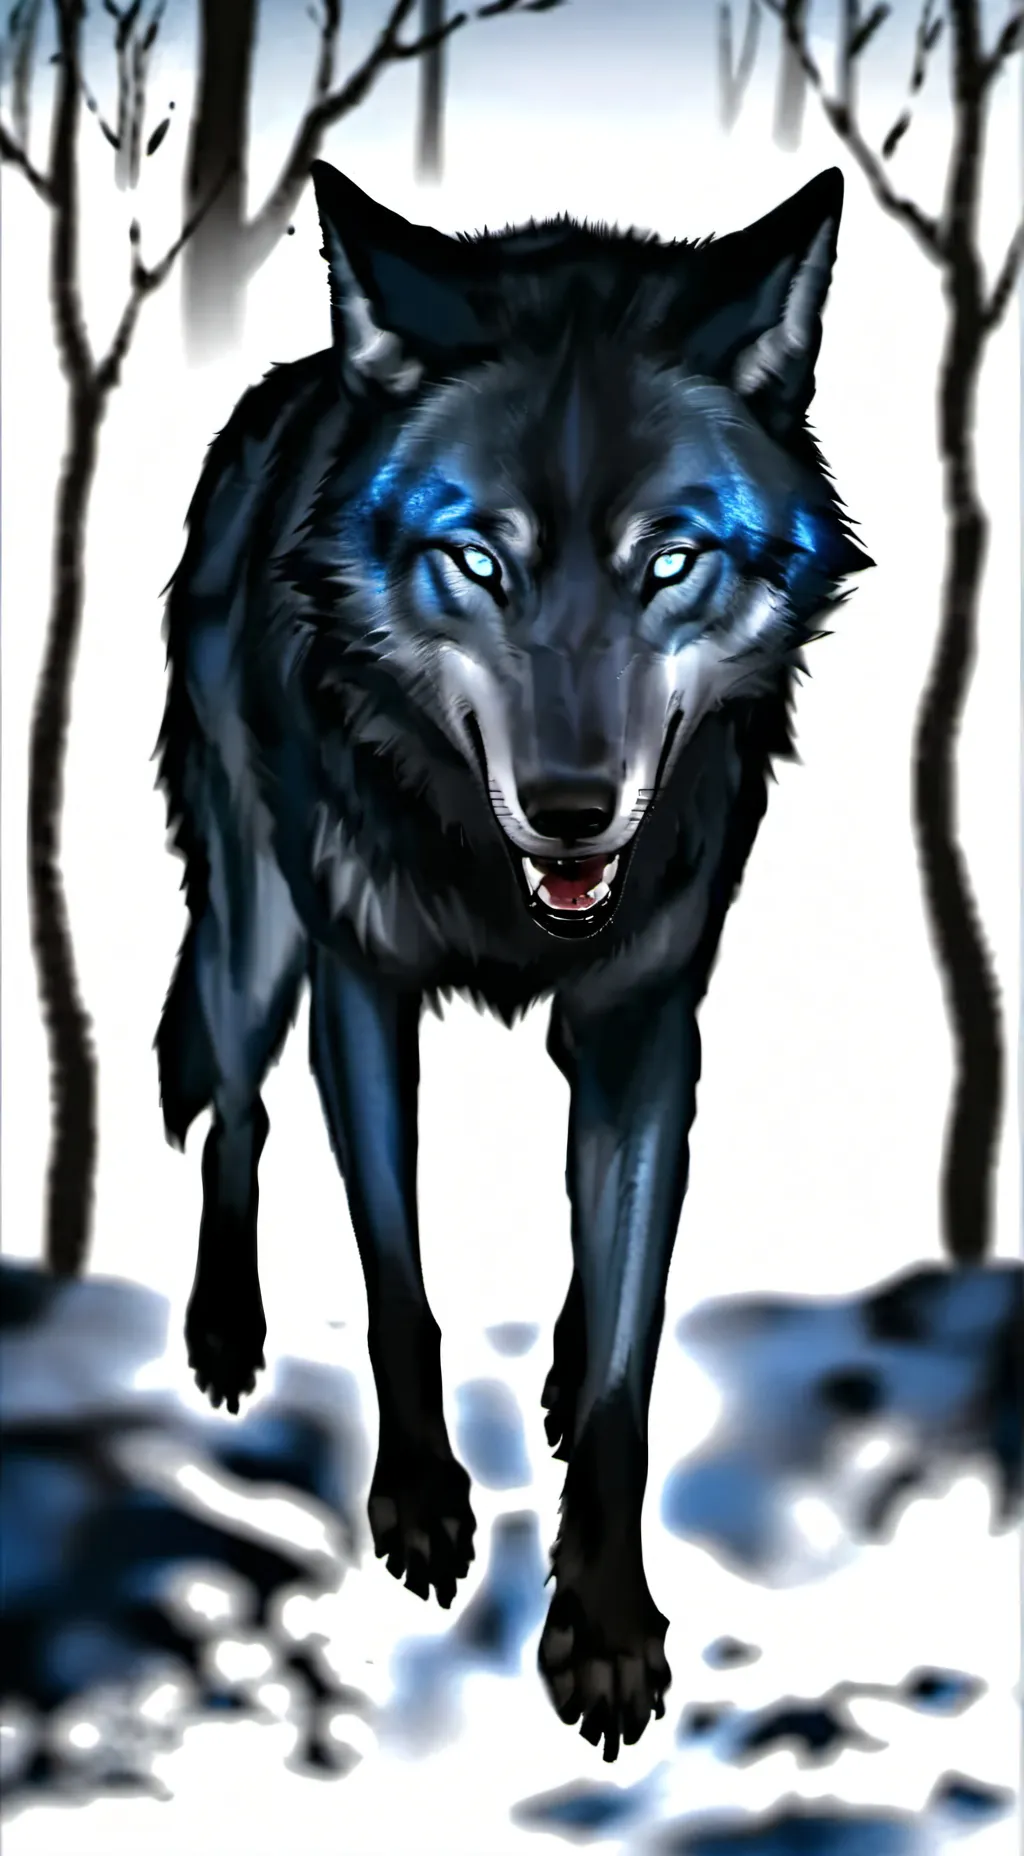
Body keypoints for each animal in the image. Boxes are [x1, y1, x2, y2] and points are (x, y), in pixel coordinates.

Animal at [156, 159, 870, 1761]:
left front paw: (602, 1632)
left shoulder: (644, 1023)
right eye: (479, 557)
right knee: (233, 1107)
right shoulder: (360, 993)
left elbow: (623, 1365)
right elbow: (395, 1278)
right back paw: (224, 1329)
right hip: (256, 935)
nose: (573, 808)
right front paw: (421, 1503)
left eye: (670, 559)